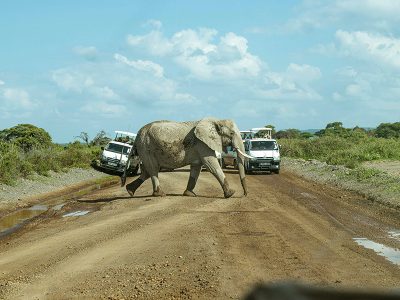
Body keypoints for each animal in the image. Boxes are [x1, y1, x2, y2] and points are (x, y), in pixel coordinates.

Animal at [120, 118, 252, 199]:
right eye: (232, 134)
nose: (244, 195)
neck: (215, 120)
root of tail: (137, 134)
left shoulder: (199, 147)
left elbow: (196, 168)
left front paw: (189, 194)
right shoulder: (202, 144)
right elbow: (211, 165)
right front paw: (230, 194)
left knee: (148, 171)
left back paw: (129, 190)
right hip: (146, 147)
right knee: (153, 169)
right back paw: (160, 194)